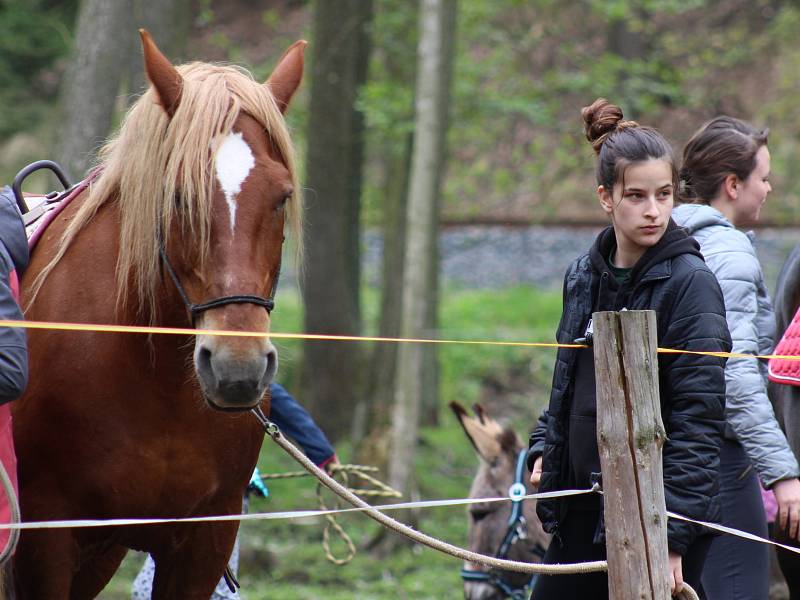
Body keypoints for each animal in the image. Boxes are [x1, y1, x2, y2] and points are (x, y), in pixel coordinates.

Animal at [7, 30, 304, 596]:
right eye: (180, 195)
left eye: (282, 196)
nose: (236, 368)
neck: (156, 381)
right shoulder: (45, 537)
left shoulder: (203, 543)